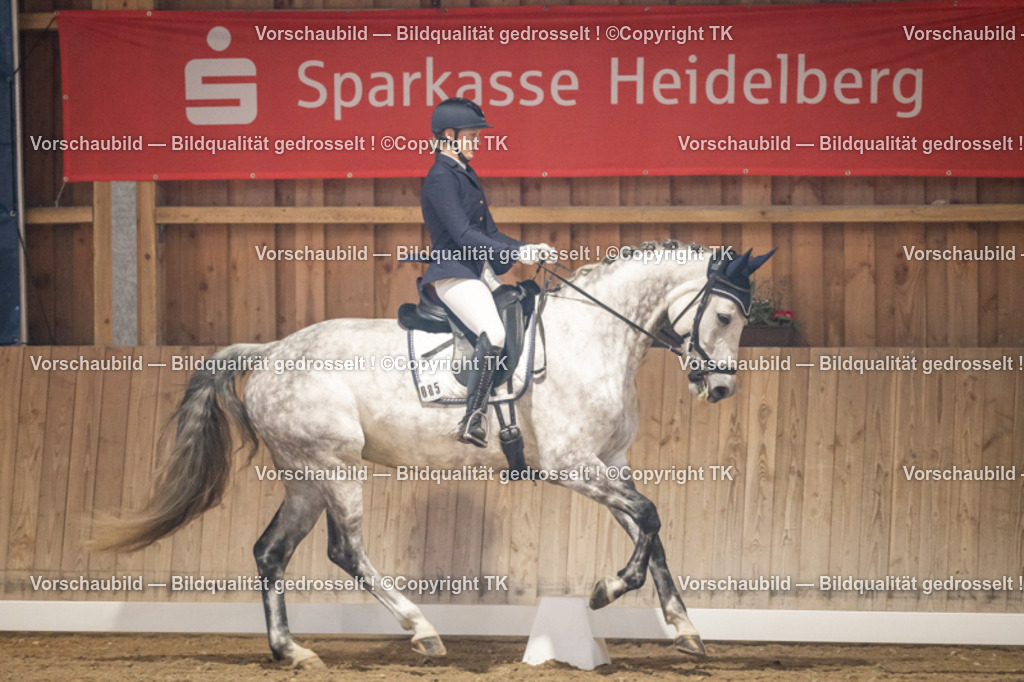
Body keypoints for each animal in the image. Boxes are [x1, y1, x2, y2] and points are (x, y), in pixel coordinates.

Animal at [89, 239, 774, 669]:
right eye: (722, 315)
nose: (720, 389)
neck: (594, 335)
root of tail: (270, 351)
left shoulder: (609, 464)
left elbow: (649, 529)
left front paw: (684, 627)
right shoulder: (571, 465)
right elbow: (651, 516)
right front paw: (607, 590)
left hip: (304, 477)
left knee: (269, 552)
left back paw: (293, 651)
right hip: (337, 468)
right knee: (346, 550)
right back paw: (421, 630)